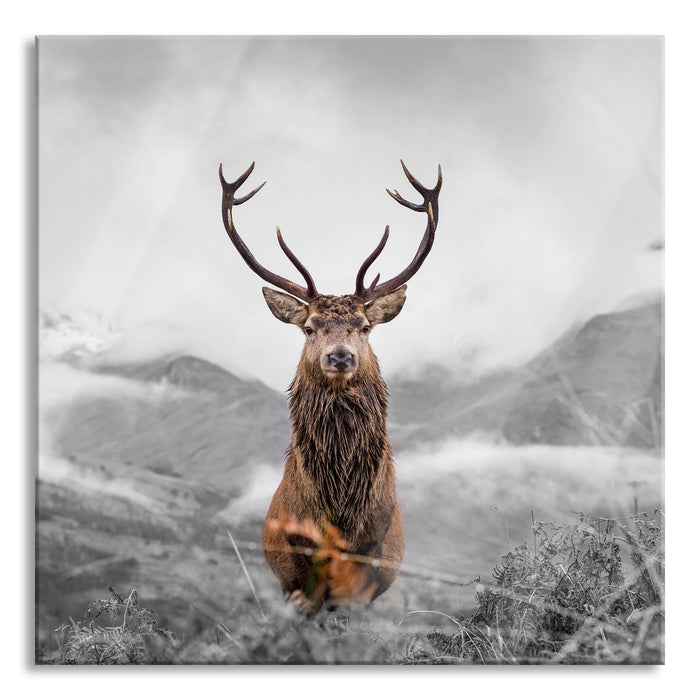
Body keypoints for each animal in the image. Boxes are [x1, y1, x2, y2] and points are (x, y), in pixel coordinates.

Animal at [218, 160, 441, 612]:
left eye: (365, 326)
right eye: (308, 327)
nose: (340, 357)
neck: (339, 511)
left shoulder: (367, 570)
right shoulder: (295, 572)